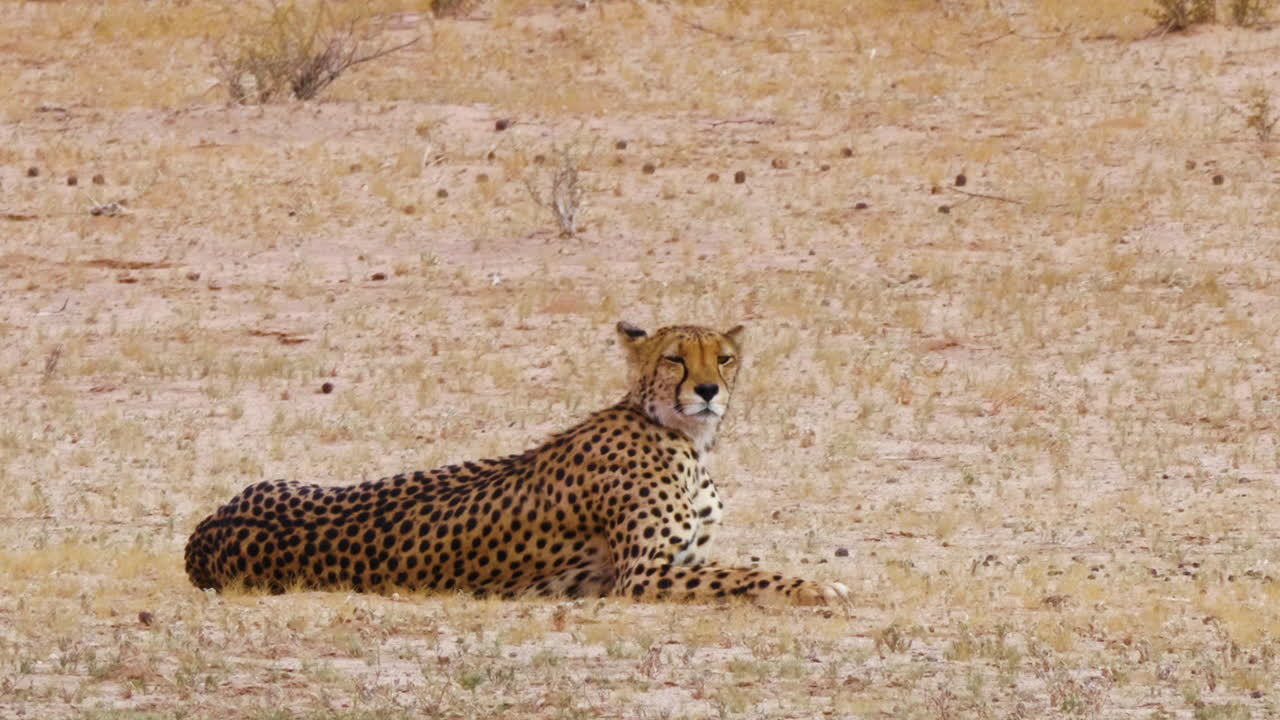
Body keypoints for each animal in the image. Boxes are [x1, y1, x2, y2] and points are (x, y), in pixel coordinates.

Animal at [184, 322, 851, 606]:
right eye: (675, 359)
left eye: (725, 357)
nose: (709, 390)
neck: (679, 434)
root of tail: (202, 536)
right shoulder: (644, 576)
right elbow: (749, 574)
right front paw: (818, 587)